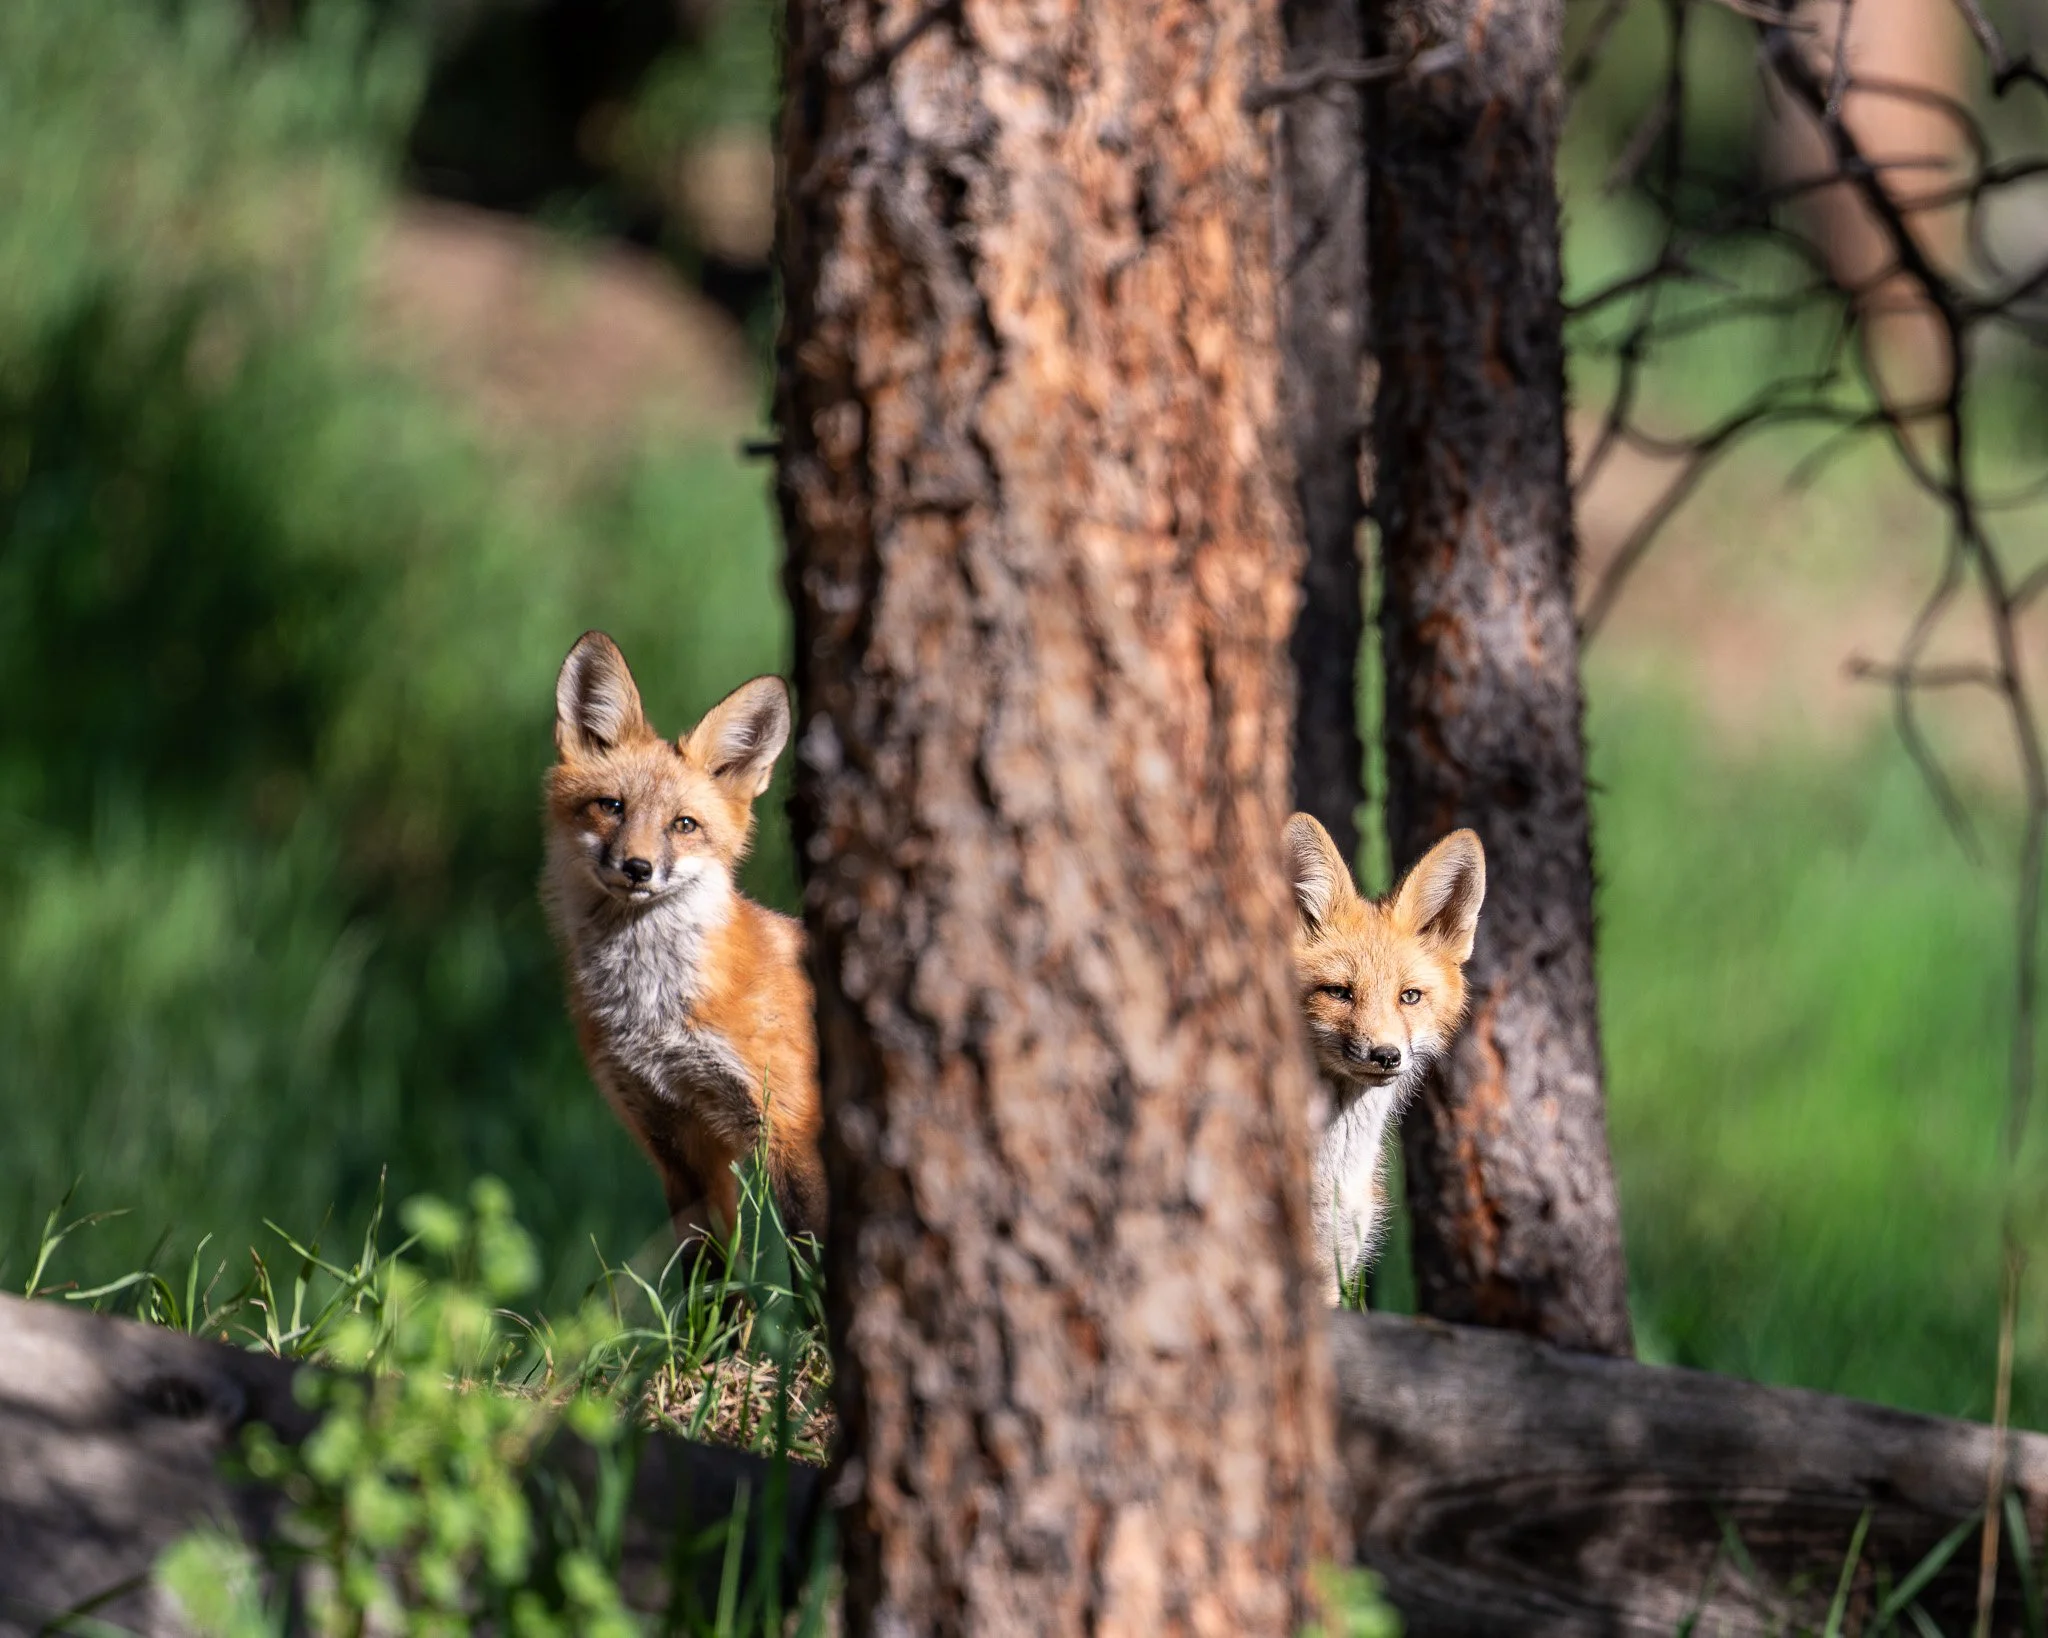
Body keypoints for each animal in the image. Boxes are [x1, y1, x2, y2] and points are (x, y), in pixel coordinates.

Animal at [543, 630, 825, 1246]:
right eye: (611, 806)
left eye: (684, 825)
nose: (637, 868)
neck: (655, 1017)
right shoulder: (678, 1145)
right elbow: (710, 1269)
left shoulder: (793, 1128)